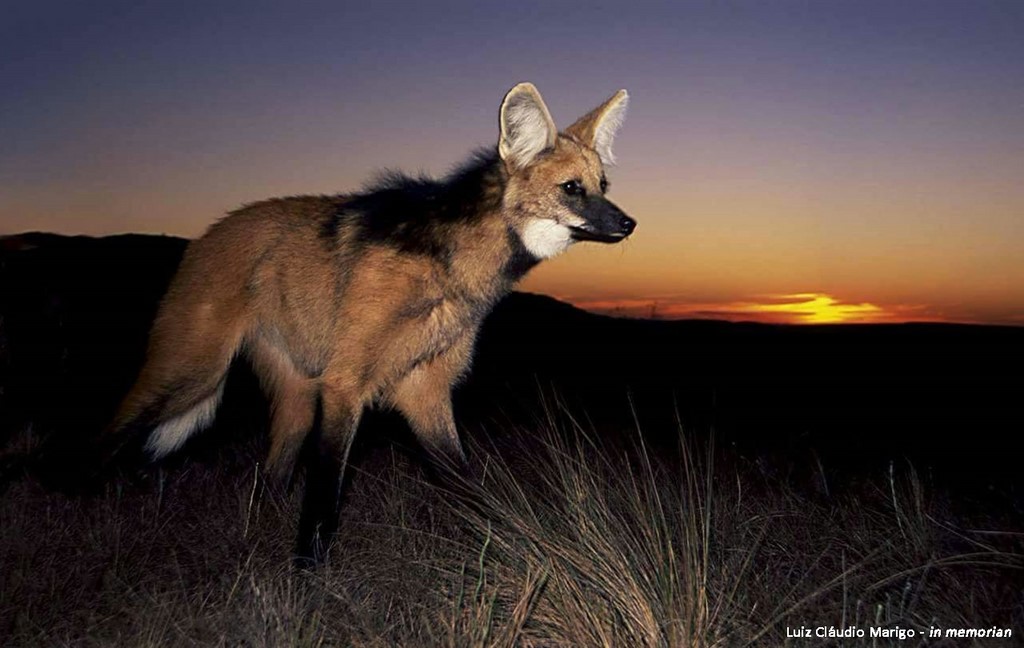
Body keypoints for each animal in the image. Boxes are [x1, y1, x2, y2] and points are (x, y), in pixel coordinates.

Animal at [107, 82, 635, 564]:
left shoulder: (423, 387)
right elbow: (325, 495)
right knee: (112, 435)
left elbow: (464, 481)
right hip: (193, 373)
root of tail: (207, 234)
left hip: (295, 398)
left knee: (272, 476)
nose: (629, 224)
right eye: (572, 188)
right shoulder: (346, 382)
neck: (452, 270)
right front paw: (308, 577)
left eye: (603, 186)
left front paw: (516, 553)